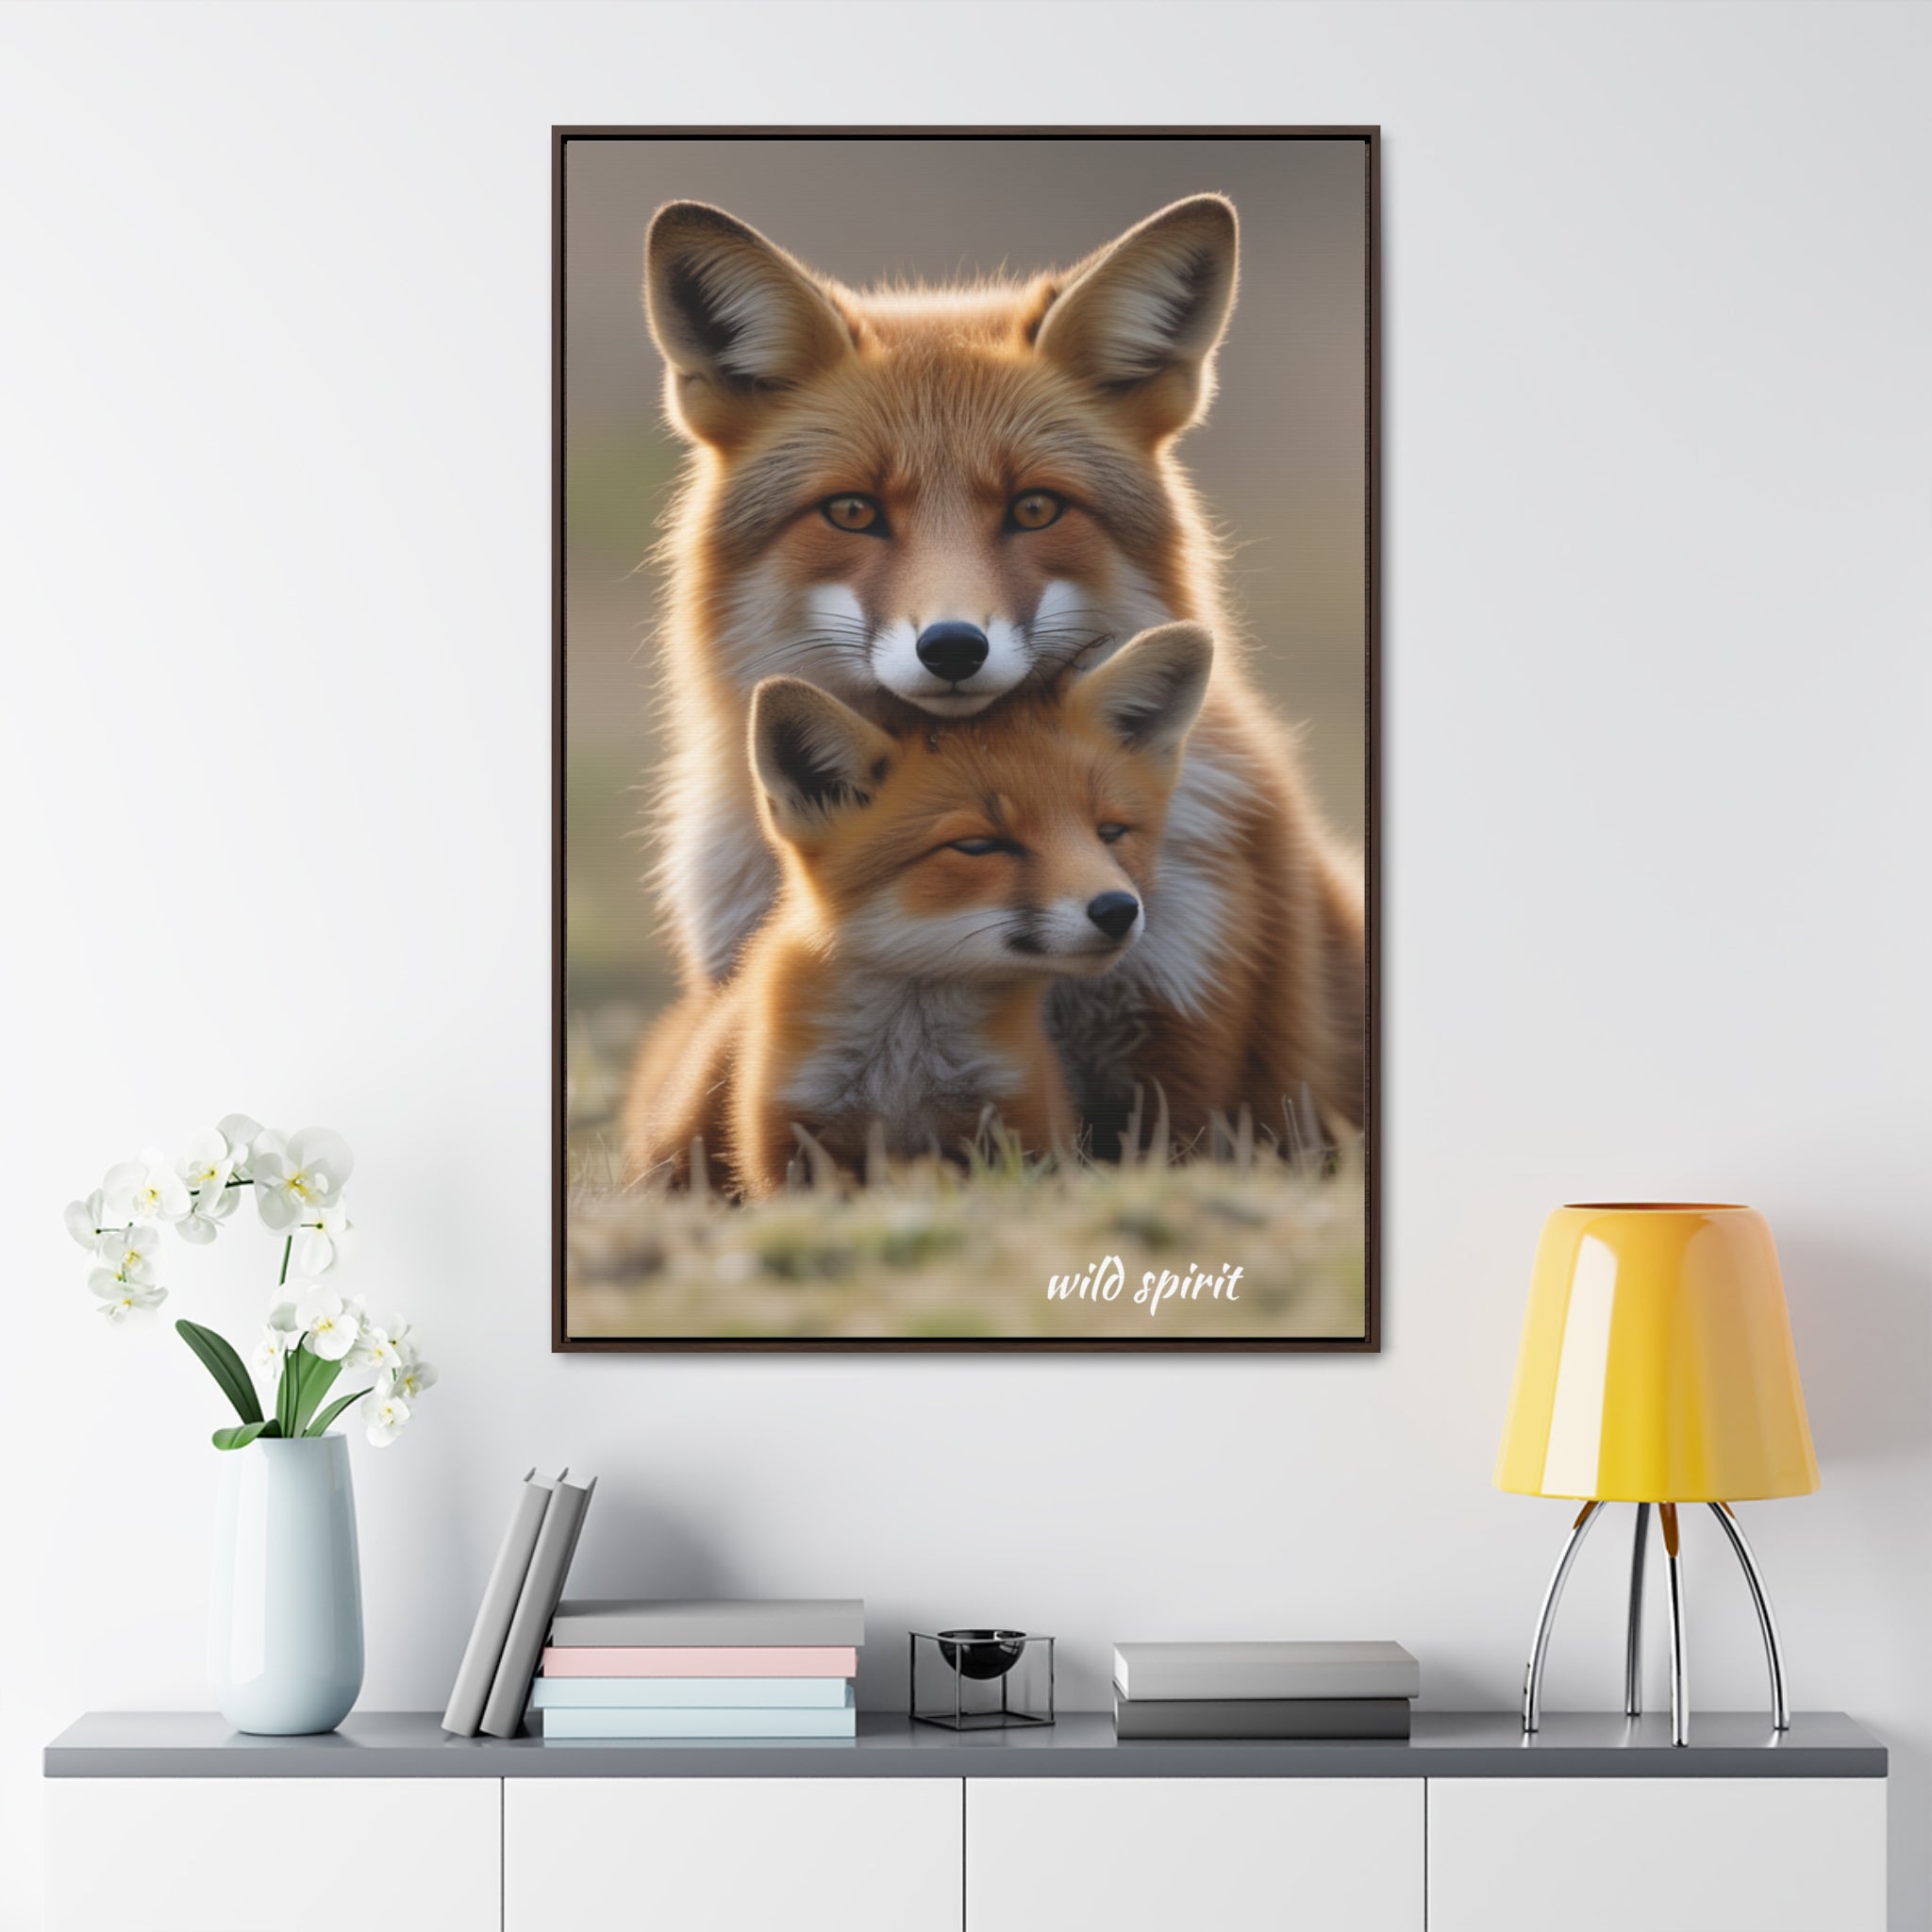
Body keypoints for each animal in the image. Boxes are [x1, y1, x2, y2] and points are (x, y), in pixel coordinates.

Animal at [622, 622, 1213, 1199]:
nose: (1118, 910)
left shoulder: (1021, 1124)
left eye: (1110, 833)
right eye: (979, 846)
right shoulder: (788, 1140)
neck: (905, 1070)